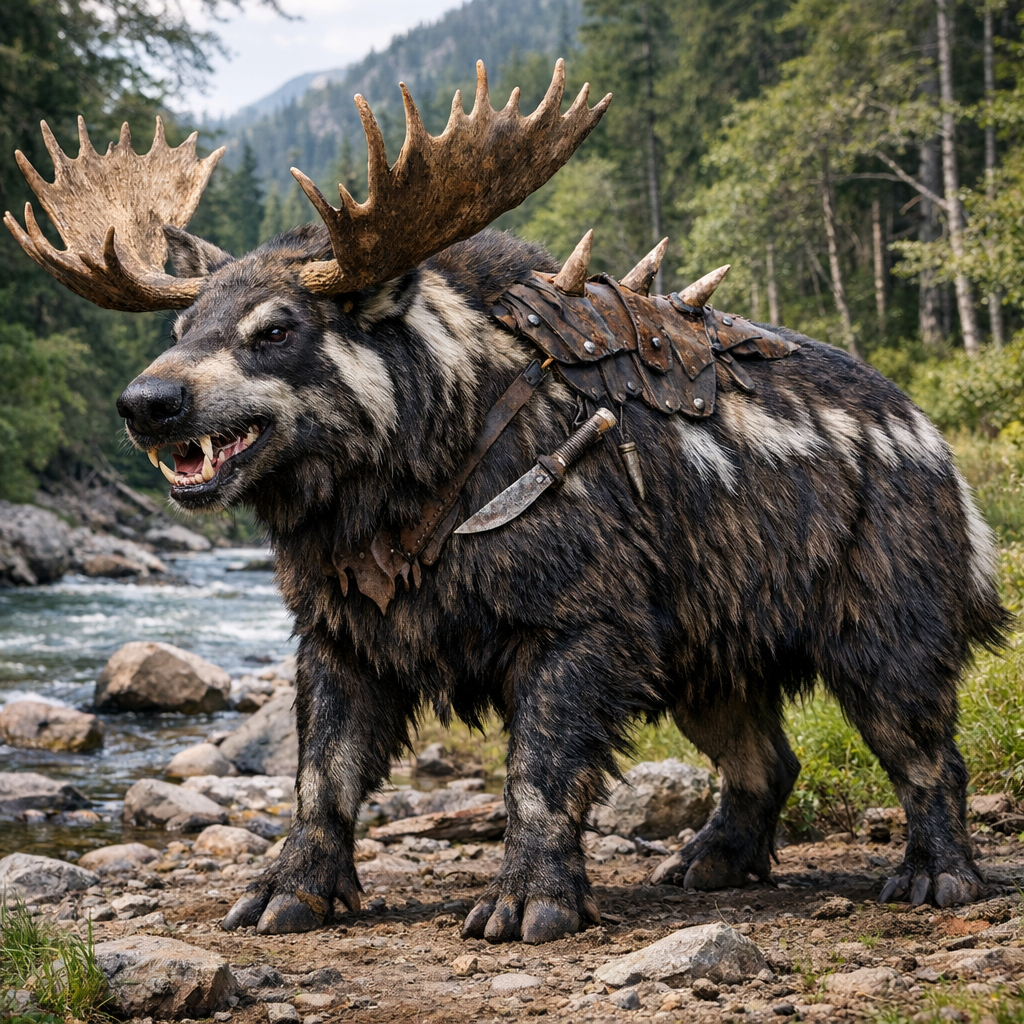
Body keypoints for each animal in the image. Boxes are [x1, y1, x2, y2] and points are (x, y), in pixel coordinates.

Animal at [6, 60, 1009, 944]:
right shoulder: (337, 637)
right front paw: (290, 891)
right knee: (769, 761)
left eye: (278, 330)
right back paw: (712, 859)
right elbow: (319, 782)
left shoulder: (581, 627)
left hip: (887, 638)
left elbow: (538, 778)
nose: (145, 402)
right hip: (709, 660)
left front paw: (530, 901)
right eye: (181, 325)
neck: (408, 477)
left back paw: (937, 875)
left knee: (932, 760)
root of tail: (938, 447)